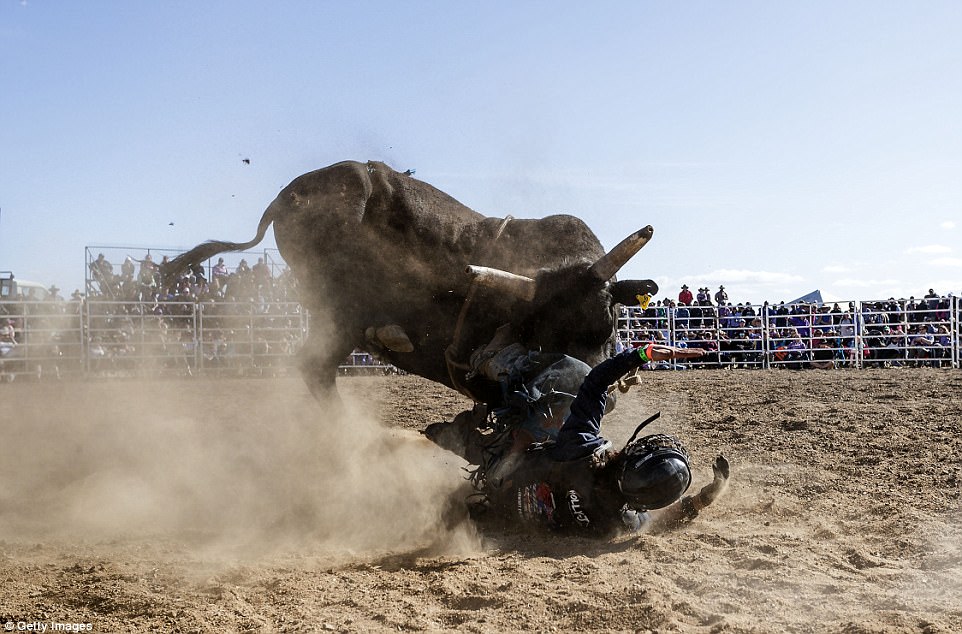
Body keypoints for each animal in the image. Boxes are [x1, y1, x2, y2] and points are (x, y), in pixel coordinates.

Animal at [167, 160, 660, 402]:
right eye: (544, 336)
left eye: (607, 329)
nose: (588, 392)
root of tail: (286, 199)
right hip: (340, 313)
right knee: (315, 367)